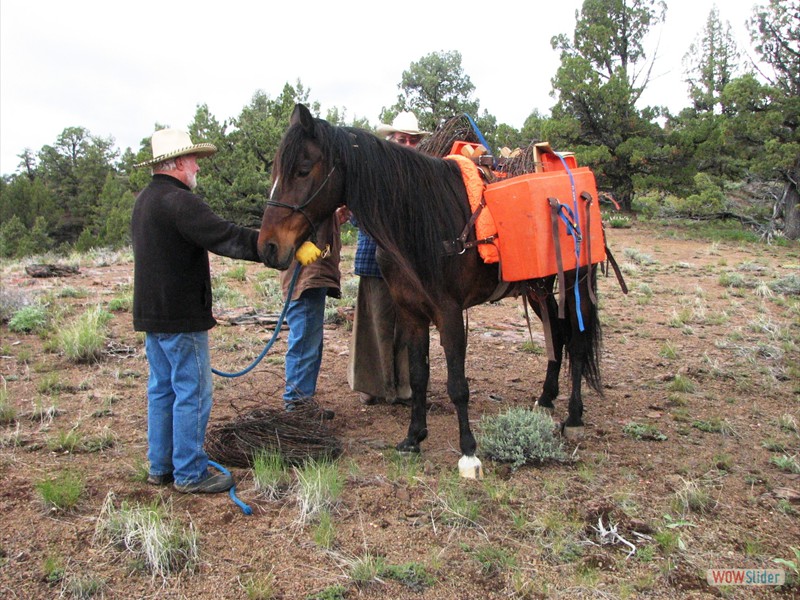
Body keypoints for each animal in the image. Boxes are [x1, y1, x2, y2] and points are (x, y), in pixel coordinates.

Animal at [256, 103, 600, 476]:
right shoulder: (411, 313)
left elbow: (457, 385)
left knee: (577, 341)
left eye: (303, 170)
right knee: (558, 333)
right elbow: (419, 375)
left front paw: (468, 453)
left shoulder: (449, 312)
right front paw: (413, 437)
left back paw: (574, 417)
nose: (268, 247)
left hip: (576, 282)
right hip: (538, 289)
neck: (421, 223)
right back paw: (547, 397)